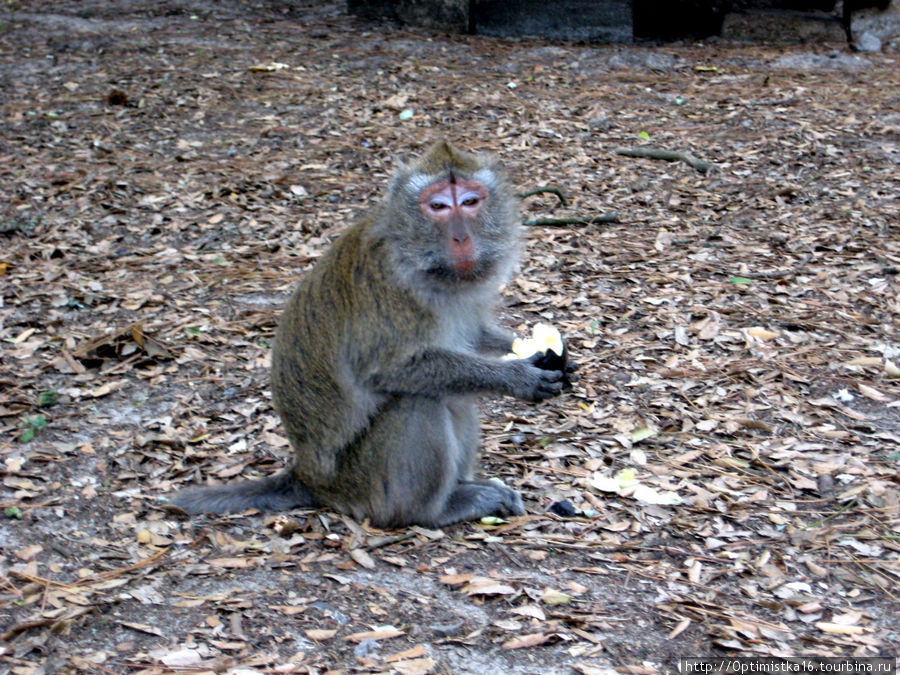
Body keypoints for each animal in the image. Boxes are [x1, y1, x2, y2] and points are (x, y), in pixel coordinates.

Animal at [171, 141, 564, 528]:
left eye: (470, 202)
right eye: (437, 206)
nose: (461, 237)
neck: (421, 262)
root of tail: (308, 477)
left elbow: (474, 336)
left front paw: (545, 354)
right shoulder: (389, 287)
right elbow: (384, 370)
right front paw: (517, 376)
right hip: (361, 481)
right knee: (419, 401)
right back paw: (435, 511)